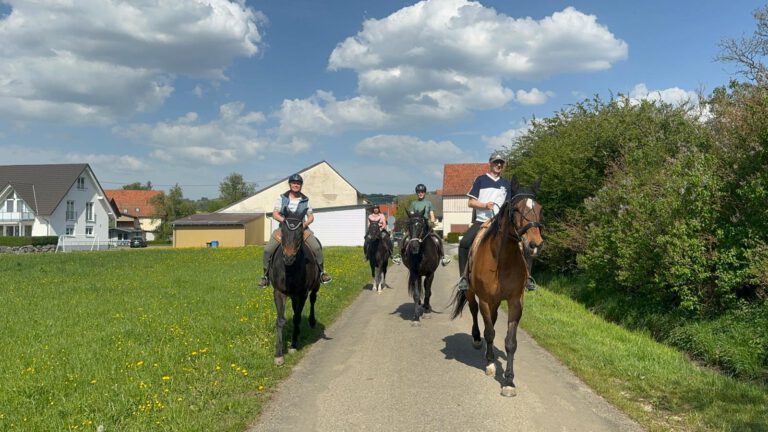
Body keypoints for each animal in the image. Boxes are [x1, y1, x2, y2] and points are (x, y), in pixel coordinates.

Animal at [268, 208, 320, 366]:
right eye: (283, 232)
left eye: (300, 233)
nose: (289, 258)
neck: (290, 269)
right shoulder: (279, 292)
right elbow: (280, 320)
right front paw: (279, 355)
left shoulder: (302, 294)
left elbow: (297, 318)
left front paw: (293, 345)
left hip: (315, 287)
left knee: (313, 299)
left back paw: (311, 321)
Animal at [450, 177, 544, 396]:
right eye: (516, 209)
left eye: (540, 208)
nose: (535, 244)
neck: (502, 260)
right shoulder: (485, 299)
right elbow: (490, 332)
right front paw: (491, 365)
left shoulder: (515, 301)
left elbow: (510, 342)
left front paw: (509, 380)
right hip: (471, 293)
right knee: (475, 312)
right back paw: (478, 341)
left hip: (495, 302)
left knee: (490, 320)